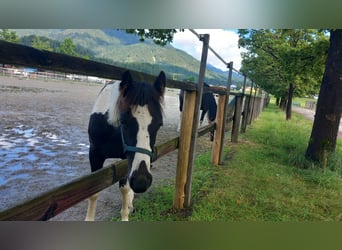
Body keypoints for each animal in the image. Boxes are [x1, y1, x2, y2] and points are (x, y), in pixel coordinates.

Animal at [85, 70, 166, 221]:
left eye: (159, 124)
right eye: (123, 121)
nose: (141, 181)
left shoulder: (124, 159)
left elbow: (125, 188)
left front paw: (125, 215)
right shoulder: (94, 154)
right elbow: (94, 192)